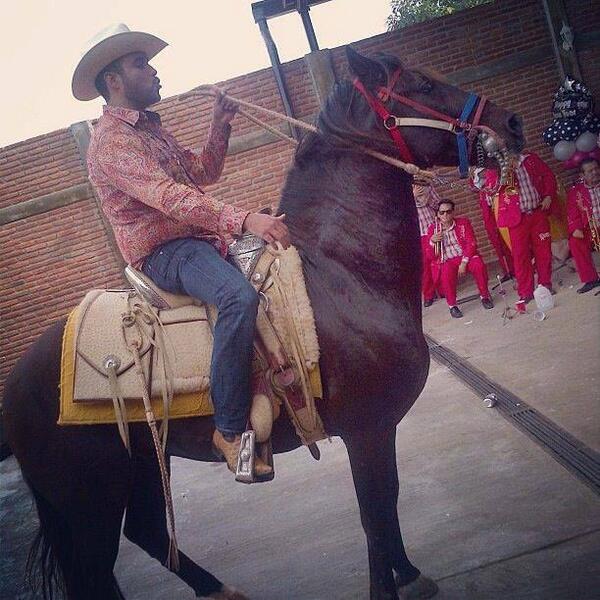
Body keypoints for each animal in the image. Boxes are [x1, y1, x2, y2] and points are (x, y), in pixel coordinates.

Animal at [3, 48, 520, 600]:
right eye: (420, 84)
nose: (509, 123)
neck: (337, 272)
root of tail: (15, 386)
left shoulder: (377, 431)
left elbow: (388, 506)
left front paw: (409, 572)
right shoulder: (367, 430)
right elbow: (375, 515)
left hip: (139, 463)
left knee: (145, 532)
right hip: (88, 499)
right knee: (98, 570)